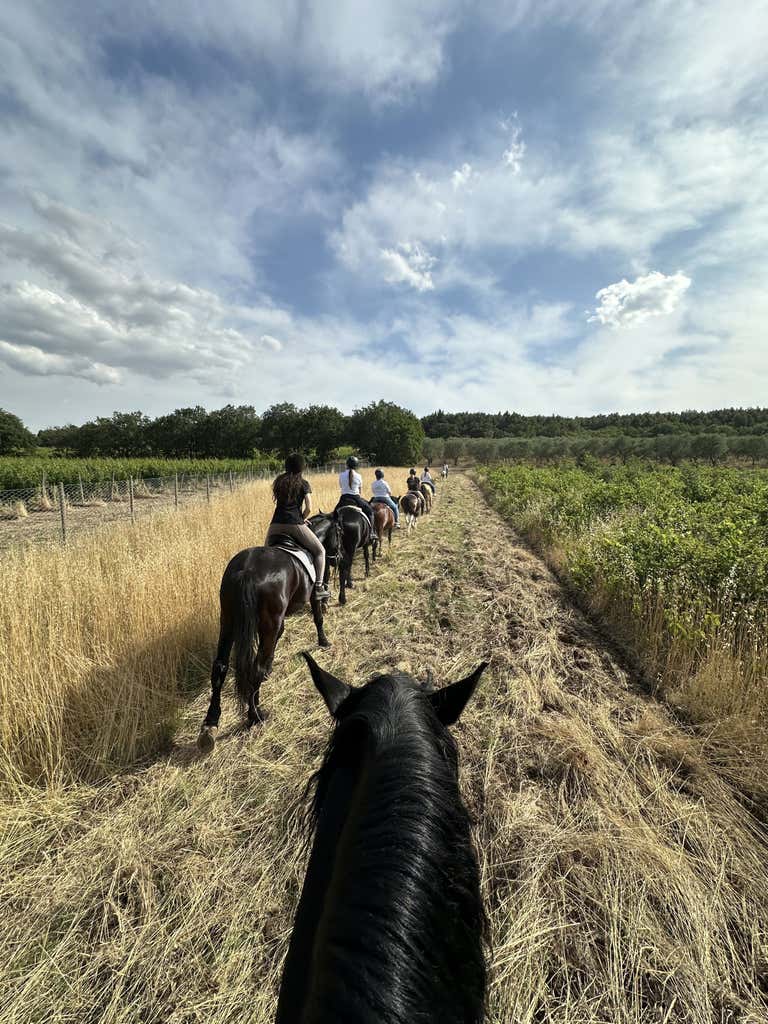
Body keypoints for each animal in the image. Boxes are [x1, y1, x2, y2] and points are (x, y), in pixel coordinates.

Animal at [197, 514, 341, 749]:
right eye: (339, 531)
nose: (336, 558)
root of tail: (247, 571)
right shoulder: (310, 598)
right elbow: (318, 618)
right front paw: (324, 641)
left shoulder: (274, 623)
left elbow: (273, 644)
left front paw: (270, 669)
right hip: (264, 621)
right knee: (254, 667)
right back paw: (255, 716)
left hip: (228, 621)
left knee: (220, 667)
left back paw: (210, 725)